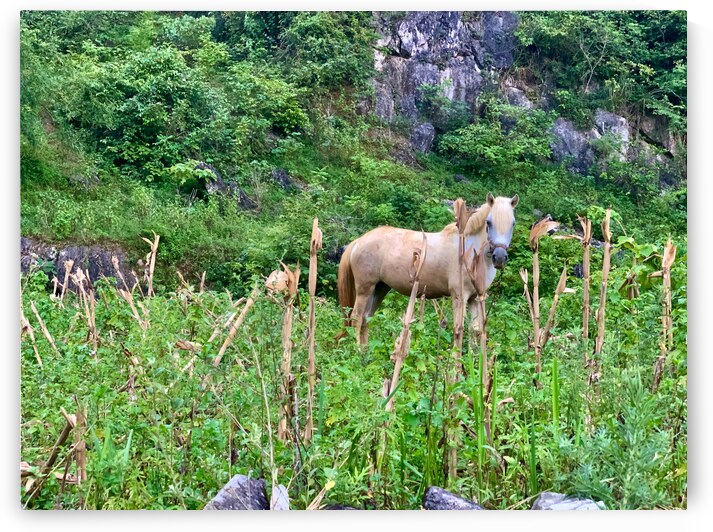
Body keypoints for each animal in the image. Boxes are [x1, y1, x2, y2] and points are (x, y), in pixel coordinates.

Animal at [338, 193, 519, 345]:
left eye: (513, 223)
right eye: (489, 222)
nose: (499, 257)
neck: (469, 251)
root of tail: (358, 241)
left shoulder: (476, 298)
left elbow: (474, 330)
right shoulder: (459, 297)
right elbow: (458, 329)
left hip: (380, 288)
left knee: (366, 318)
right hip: (365, 289)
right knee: (356, 318)